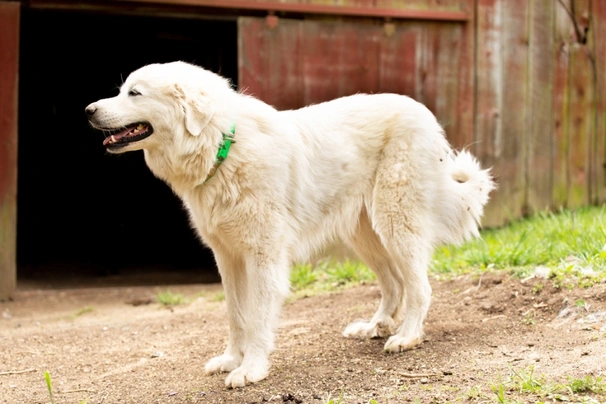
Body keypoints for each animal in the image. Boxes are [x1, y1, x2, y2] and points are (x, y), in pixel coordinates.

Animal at [84, 62, 494, 388]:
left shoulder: (263, 257)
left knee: (420, 287)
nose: (88, 110)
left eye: (134, 92)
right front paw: (231, 360)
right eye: (121, 89)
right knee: (394, 283)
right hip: (365, 234)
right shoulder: (228, 258)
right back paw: (376, 326)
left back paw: (406, 337)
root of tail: (425, 113)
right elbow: (235, 316)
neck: (223, 146)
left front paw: (251, 369)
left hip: (396, 222)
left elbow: (257, 320)